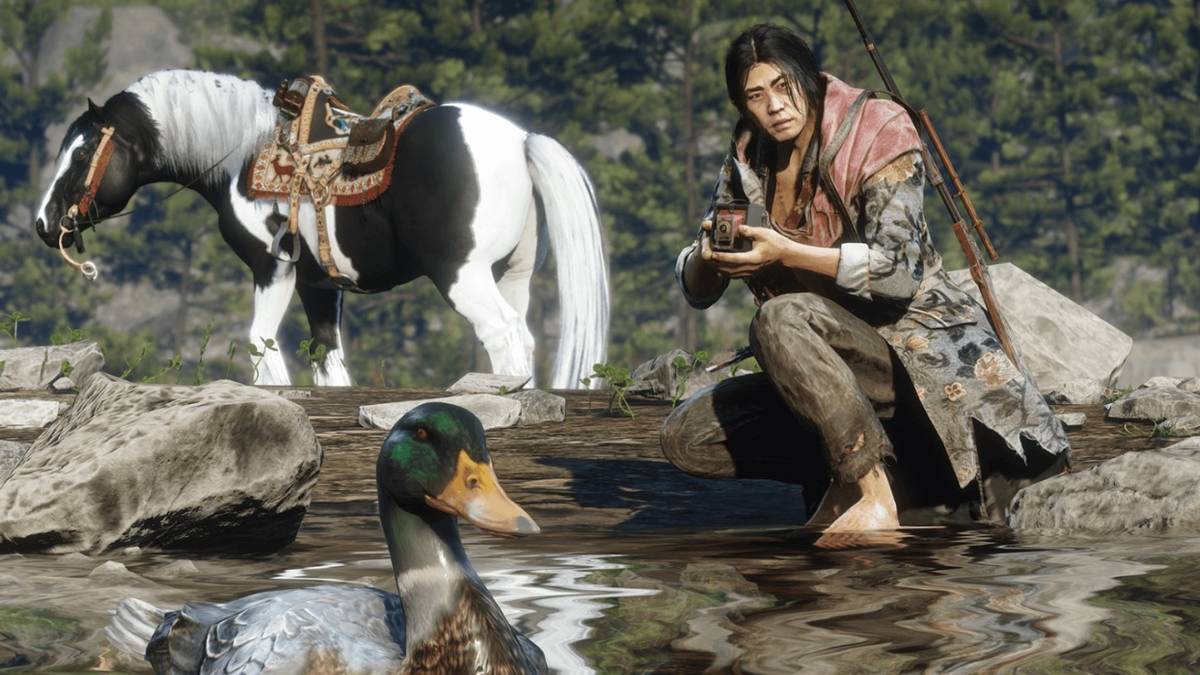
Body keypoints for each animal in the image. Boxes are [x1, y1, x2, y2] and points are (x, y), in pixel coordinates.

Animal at [33, 69, 608, 388]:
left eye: (82, 152)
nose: (43, 222)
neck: (244, 154)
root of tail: (520, 139)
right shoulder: (319, 284)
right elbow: (327, 359)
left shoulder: (274, 267)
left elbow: (261, 343)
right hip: (511, 273)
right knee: (522, 336)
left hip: (461, 274)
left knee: (502, 335)